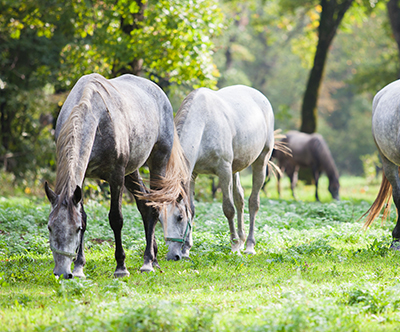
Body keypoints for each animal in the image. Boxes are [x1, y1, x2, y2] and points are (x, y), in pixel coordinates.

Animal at [44, 74, 188, 278]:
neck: (97, 117)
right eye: (49, 227)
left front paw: (121, 267)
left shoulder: (116, 177)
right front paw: (79, 267)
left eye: (75, 229)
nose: (62, 272)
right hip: (131, 171)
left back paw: (148, 263)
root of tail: (158, 92)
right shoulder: (83, 179)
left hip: (157, 162)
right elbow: (84, 216)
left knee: (154, 206)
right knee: (144, 206)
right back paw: (153, 258)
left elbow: (116, 219)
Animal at [156, 85, 276, 260]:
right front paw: (186, 249)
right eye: (160, 220)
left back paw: (248, 246)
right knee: (240, 198)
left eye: (179, 217)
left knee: (253, 202)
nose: (172, 255)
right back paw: (242, 240)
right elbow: (192, 209)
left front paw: (234, 246)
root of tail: (260, 97)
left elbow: (228, 209)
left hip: (260, 161)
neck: (204, 124)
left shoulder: (223, 170)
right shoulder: (192, 175)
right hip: (235, 168)